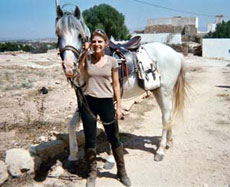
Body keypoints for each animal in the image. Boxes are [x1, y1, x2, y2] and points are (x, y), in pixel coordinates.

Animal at [54, 1, 188, 162]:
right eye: (58, 34)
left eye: (80, 36)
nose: (69, 67)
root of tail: (176, 53)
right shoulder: (84, 100)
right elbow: (72, 124)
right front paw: (73, 155)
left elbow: (112, 127)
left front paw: (111, 159)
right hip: (158, 90)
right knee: (166, 114)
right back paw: (168, 141)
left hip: (165, 90)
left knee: (166, 115)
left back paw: (160, 150)